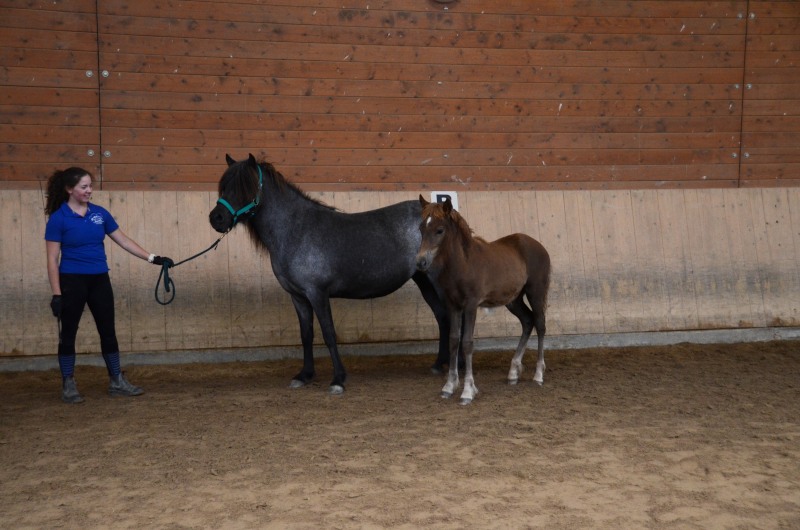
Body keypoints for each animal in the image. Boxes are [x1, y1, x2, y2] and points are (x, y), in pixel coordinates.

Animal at [208, 154, 451, 394]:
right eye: (224, 186)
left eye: (244, 186)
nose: (216, 218)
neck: (296, 230)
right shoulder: (298, 297)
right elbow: (306, 335)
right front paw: (304, 375)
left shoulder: (318, 293)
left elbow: (328, 334)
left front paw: (338, 380)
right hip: (424, 281)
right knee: (442, 316)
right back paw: (440, 364)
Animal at [415, 195, 551, 405]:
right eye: (421, 228)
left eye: (440, 230)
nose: (421, 262)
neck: (463, 263)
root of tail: (539, 245)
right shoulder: (453, 306)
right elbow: (453, 340)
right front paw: (449, 386)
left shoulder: (471, 305)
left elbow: (467, 343)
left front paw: (467, 391)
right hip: (513, 300)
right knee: (528, 321)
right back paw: (513, 372)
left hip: (536, 292)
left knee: (540, 324)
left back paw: (538, 375)